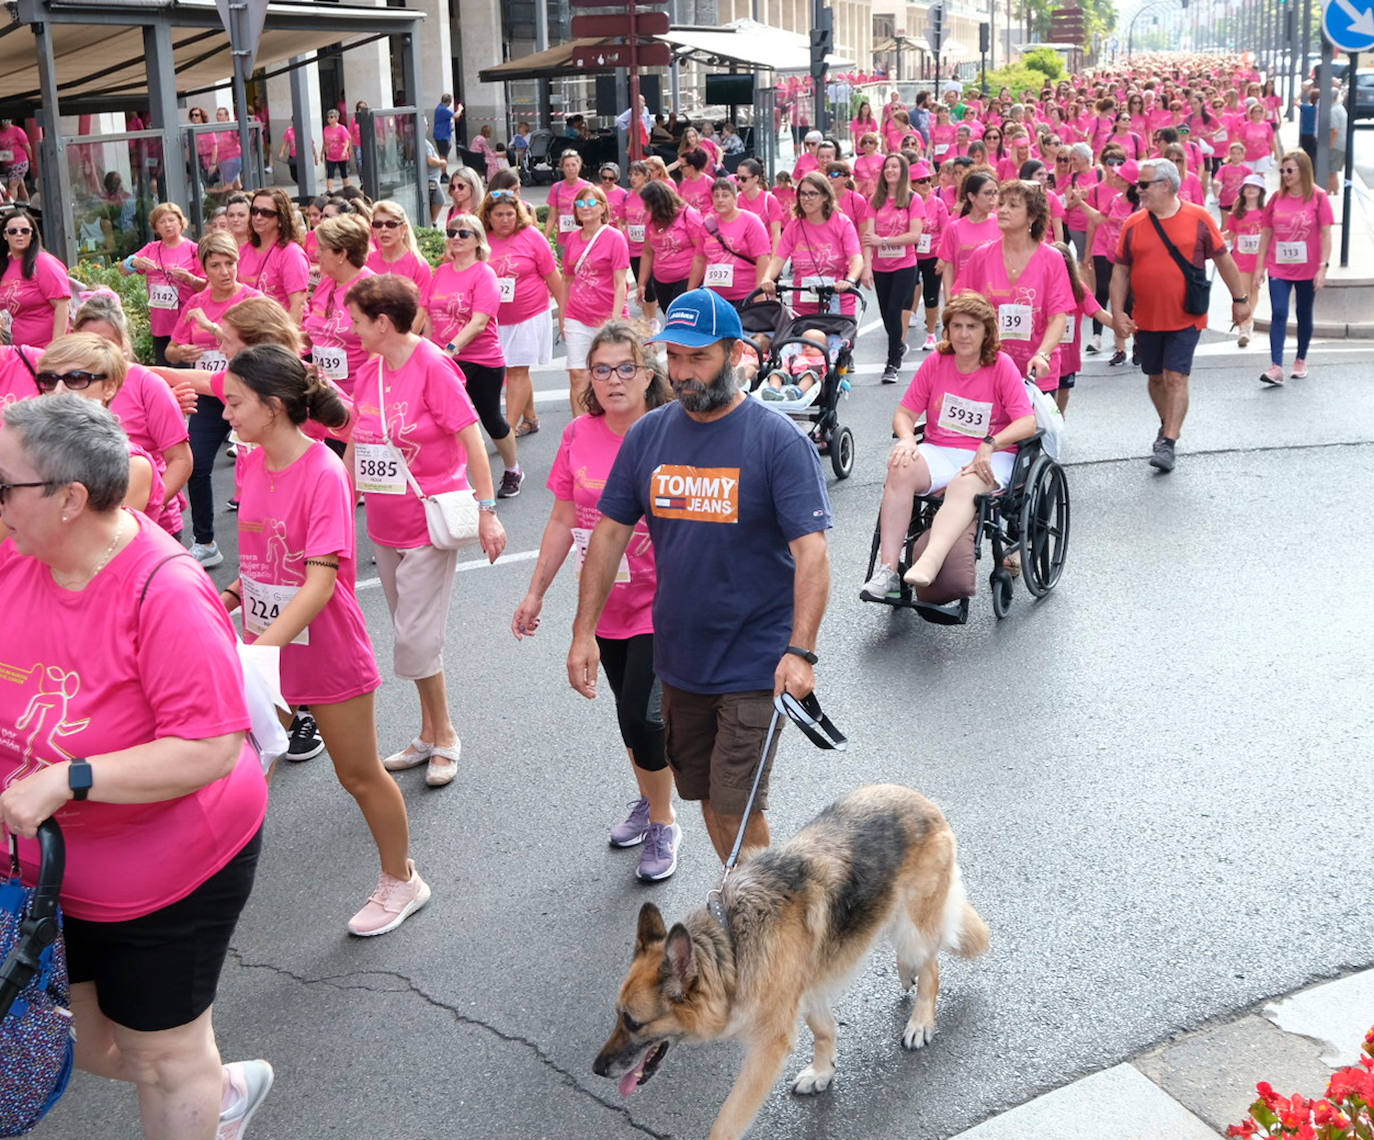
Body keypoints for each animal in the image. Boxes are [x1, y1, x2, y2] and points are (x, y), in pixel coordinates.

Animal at [590, 785, 989, 1140]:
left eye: (634, 1022)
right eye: (617, 1015)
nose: (596, 1069)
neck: (732, 946)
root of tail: (922, 801)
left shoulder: (769, 1046)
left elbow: (728, 1120)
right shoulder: (807, 991)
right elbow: (825, 1031)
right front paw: (823, 1073)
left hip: (912, 926)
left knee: (931, 966)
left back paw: (920, 1020)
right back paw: (907, 974)